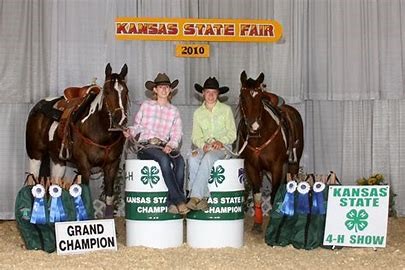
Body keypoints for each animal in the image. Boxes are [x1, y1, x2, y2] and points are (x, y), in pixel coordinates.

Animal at [25, 63, 129, 217]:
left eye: (126, 91)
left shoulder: (112, 165)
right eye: (107, 92)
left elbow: (109, 197)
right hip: (35, 154)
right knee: (33, 181)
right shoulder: (84, 166)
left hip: (58, 160)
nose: (120, 120)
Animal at [238, 71, 302, 232]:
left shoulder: (276, 166)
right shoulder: (252, 167)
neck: (258, 137)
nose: (254, 125)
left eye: (260, 97)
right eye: (242, 96)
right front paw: (257, 224)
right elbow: (257, 195)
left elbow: (273, 195)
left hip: (293, 164)